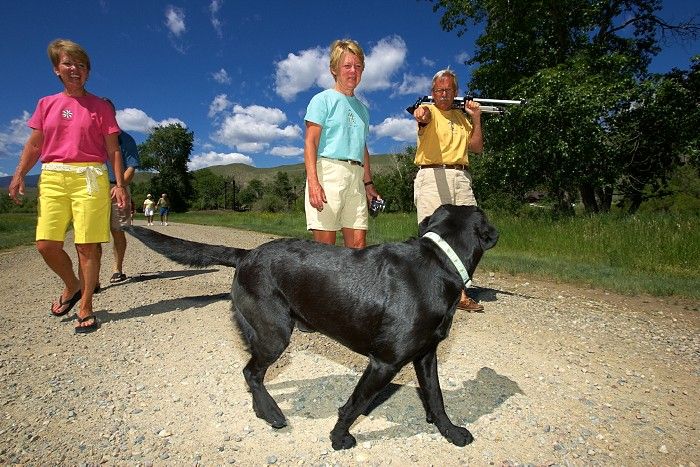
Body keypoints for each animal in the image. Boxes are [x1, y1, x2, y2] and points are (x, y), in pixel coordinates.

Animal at [126, 205, 498, 450]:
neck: (439, 259)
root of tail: (245, 254)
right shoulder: (384, 363)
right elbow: (354, 405)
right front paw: (339, 438)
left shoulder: (426, 356)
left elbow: (436, 398)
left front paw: (451, 432)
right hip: (274, 334)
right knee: (250, 372)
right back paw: (272, 413)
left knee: (252, 374)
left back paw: (262, 411)